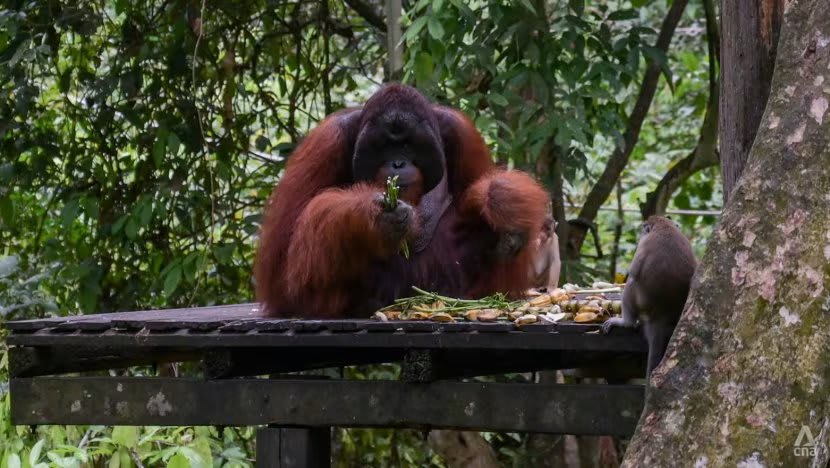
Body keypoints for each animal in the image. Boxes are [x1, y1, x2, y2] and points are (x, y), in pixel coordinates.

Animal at [602, 215, 696, 377]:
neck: (664, 226)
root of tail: (661, 313)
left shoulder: (644, 244)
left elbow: (633, 272)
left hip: (641, 302)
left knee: (631, 283)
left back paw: (626, 322)